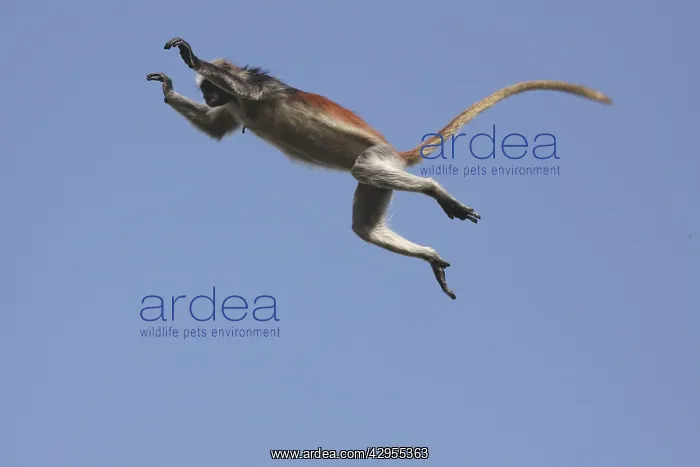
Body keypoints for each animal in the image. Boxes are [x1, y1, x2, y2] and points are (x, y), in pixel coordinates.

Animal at [146, 37, 613, 300]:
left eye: (209, 87)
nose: (207, 96)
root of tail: (397, 153)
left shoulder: (259, 87)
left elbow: (245, 93)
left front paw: (191, 57)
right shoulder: (234, 105)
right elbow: (216, 130)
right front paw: (169, 88)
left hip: (376, 159)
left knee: (364, 174)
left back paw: (437, 192)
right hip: (381, 172)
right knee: (365, 227)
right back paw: (429, 256)